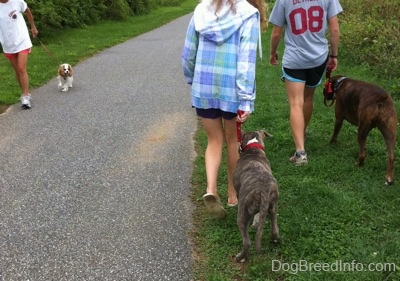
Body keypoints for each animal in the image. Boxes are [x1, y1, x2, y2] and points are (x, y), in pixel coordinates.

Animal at [233, 130, 280, 262]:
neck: (253, 148)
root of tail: (264, 191)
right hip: (273, 207)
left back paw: (240, 257)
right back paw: (275, 239)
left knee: (247, 242)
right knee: (275, 229)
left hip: (242, 216)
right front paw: (256, 223)